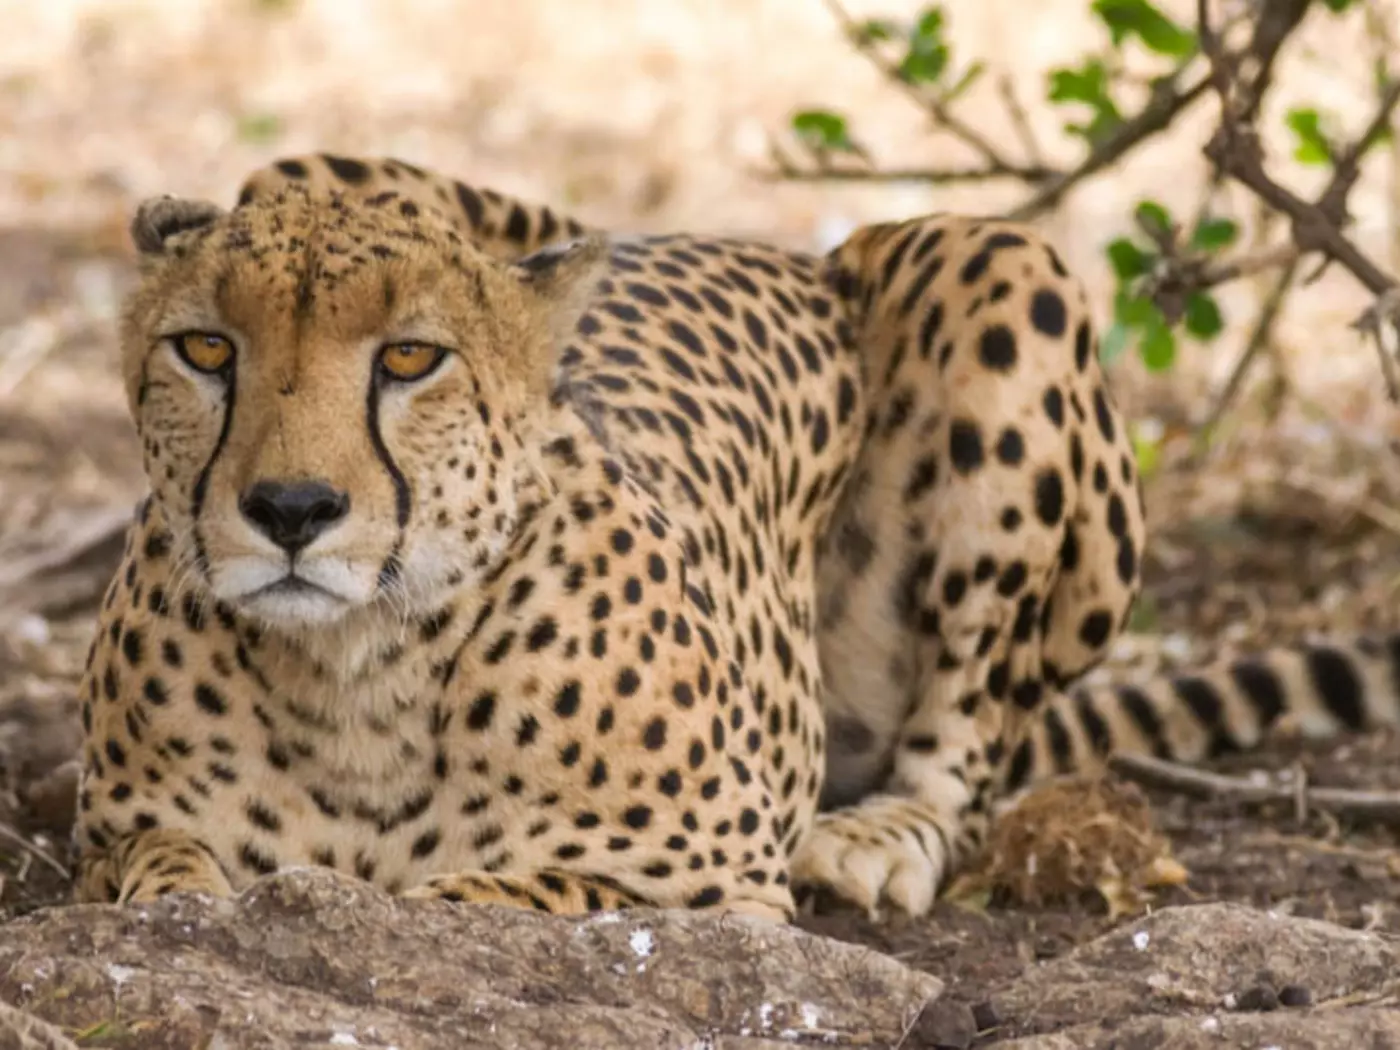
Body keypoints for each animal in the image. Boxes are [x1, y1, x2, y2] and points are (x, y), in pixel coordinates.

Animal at [73, 151, 1400, 923]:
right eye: (206, 348)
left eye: (409, 358)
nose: (291, 511)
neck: (362, 670)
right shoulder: (122, 835)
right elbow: (165, 878)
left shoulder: (713, 889)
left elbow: (505, 892)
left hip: (997, 264)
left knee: (966, 749)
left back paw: (876, 838)